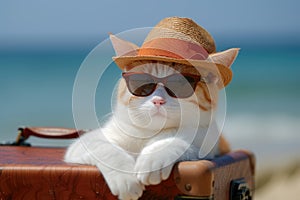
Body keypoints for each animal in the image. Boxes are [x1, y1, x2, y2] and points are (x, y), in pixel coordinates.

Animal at [63, 52, 237, 200]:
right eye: (144, 84)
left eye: (179, 85)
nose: (158, 100)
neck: (148, 133)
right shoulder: (85, 142)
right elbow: (106, 149)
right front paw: (125, 178)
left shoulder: (205, 147)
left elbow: (175, 141)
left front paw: (152, 159)